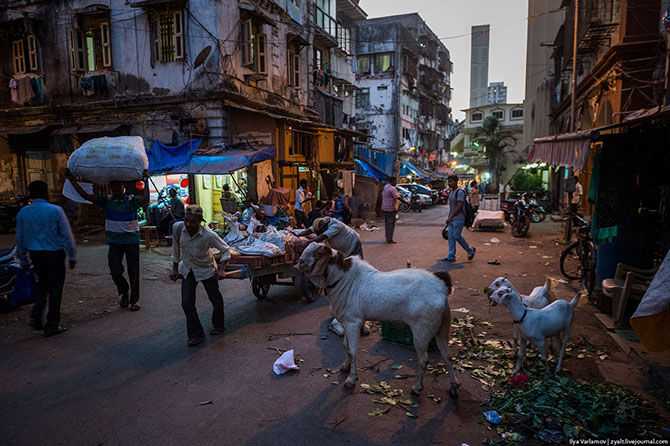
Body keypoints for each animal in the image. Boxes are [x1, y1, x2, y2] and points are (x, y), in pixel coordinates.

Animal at [300, 244, 462, 398]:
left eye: (319, 253)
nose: (299, 262)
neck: (343, 280)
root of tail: (442, 288)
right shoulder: (346, 322)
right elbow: (346, 346)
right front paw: (346, 367)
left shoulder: (353, 322)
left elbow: (352, 350)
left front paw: (351, 380)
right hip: (443, 326)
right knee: (447, 357)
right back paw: (453, 388)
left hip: (422, 330)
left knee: (424, 360)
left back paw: (417, 388)